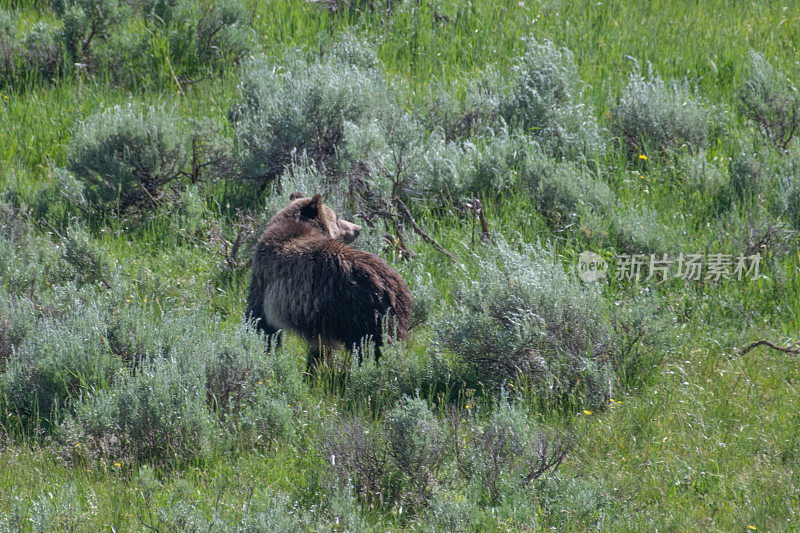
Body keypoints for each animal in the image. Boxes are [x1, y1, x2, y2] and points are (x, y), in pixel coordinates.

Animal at [247, 192, 412, 370]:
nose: (358, 228)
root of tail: (393, 286)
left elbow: (261, 322)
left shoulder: (265, 281)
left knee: (372, 346)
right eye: (338, 217)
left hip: (360, 314)